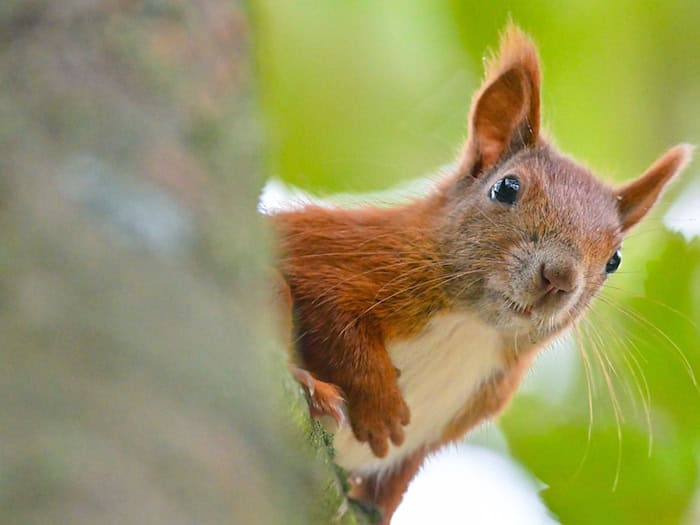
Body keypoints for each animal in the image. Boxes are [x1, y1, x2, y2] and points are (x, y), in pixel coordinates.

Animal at [270, 24, 693, 524]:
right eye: (506, 187)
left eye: (615, 259)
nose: (559, 277)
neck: (471, 326)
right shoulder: (337, 254)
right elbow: (334, 318)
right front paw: (381, 408)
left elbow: (400, 476)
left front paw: (380, 505)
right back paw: (310, 387)